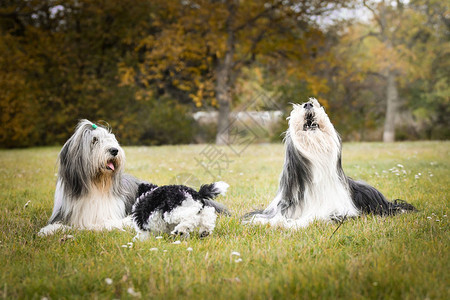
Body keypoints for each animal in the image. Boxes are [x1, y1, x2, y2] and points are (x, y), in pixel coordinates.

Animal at [246, 98, 414, 227]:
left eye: (316, 104)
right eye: (297, 109)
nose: (308, 104)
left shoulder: (335, 211)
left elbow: (309, 218)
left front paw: (292, 224)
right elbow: (267, 218)